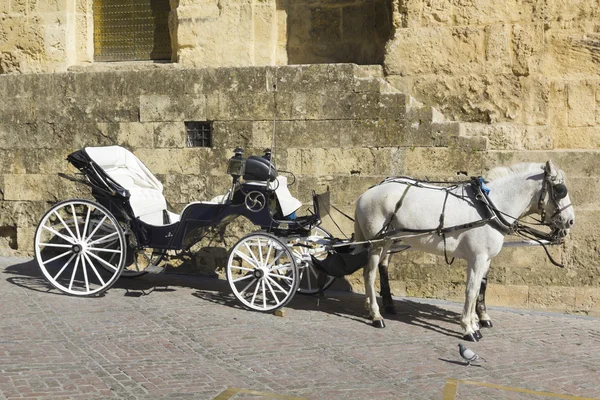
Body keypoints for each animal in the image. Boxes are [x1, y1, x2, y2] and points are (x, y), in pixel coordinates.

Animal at [354, 161, 576, 342]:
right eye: (560, 190)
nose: (570, 221)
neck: (489, 206)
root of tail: (367, 193)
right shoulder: (477, 258)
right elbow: (471, 290)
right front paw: (469, 328)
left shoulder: (485, 259)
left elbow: (478, 289)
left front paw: (476, 322)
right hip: (377, 243)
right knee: (369, 274)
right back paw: (376, 315)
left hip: (387, 241)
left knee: (373, 269)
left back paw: (371, 308)